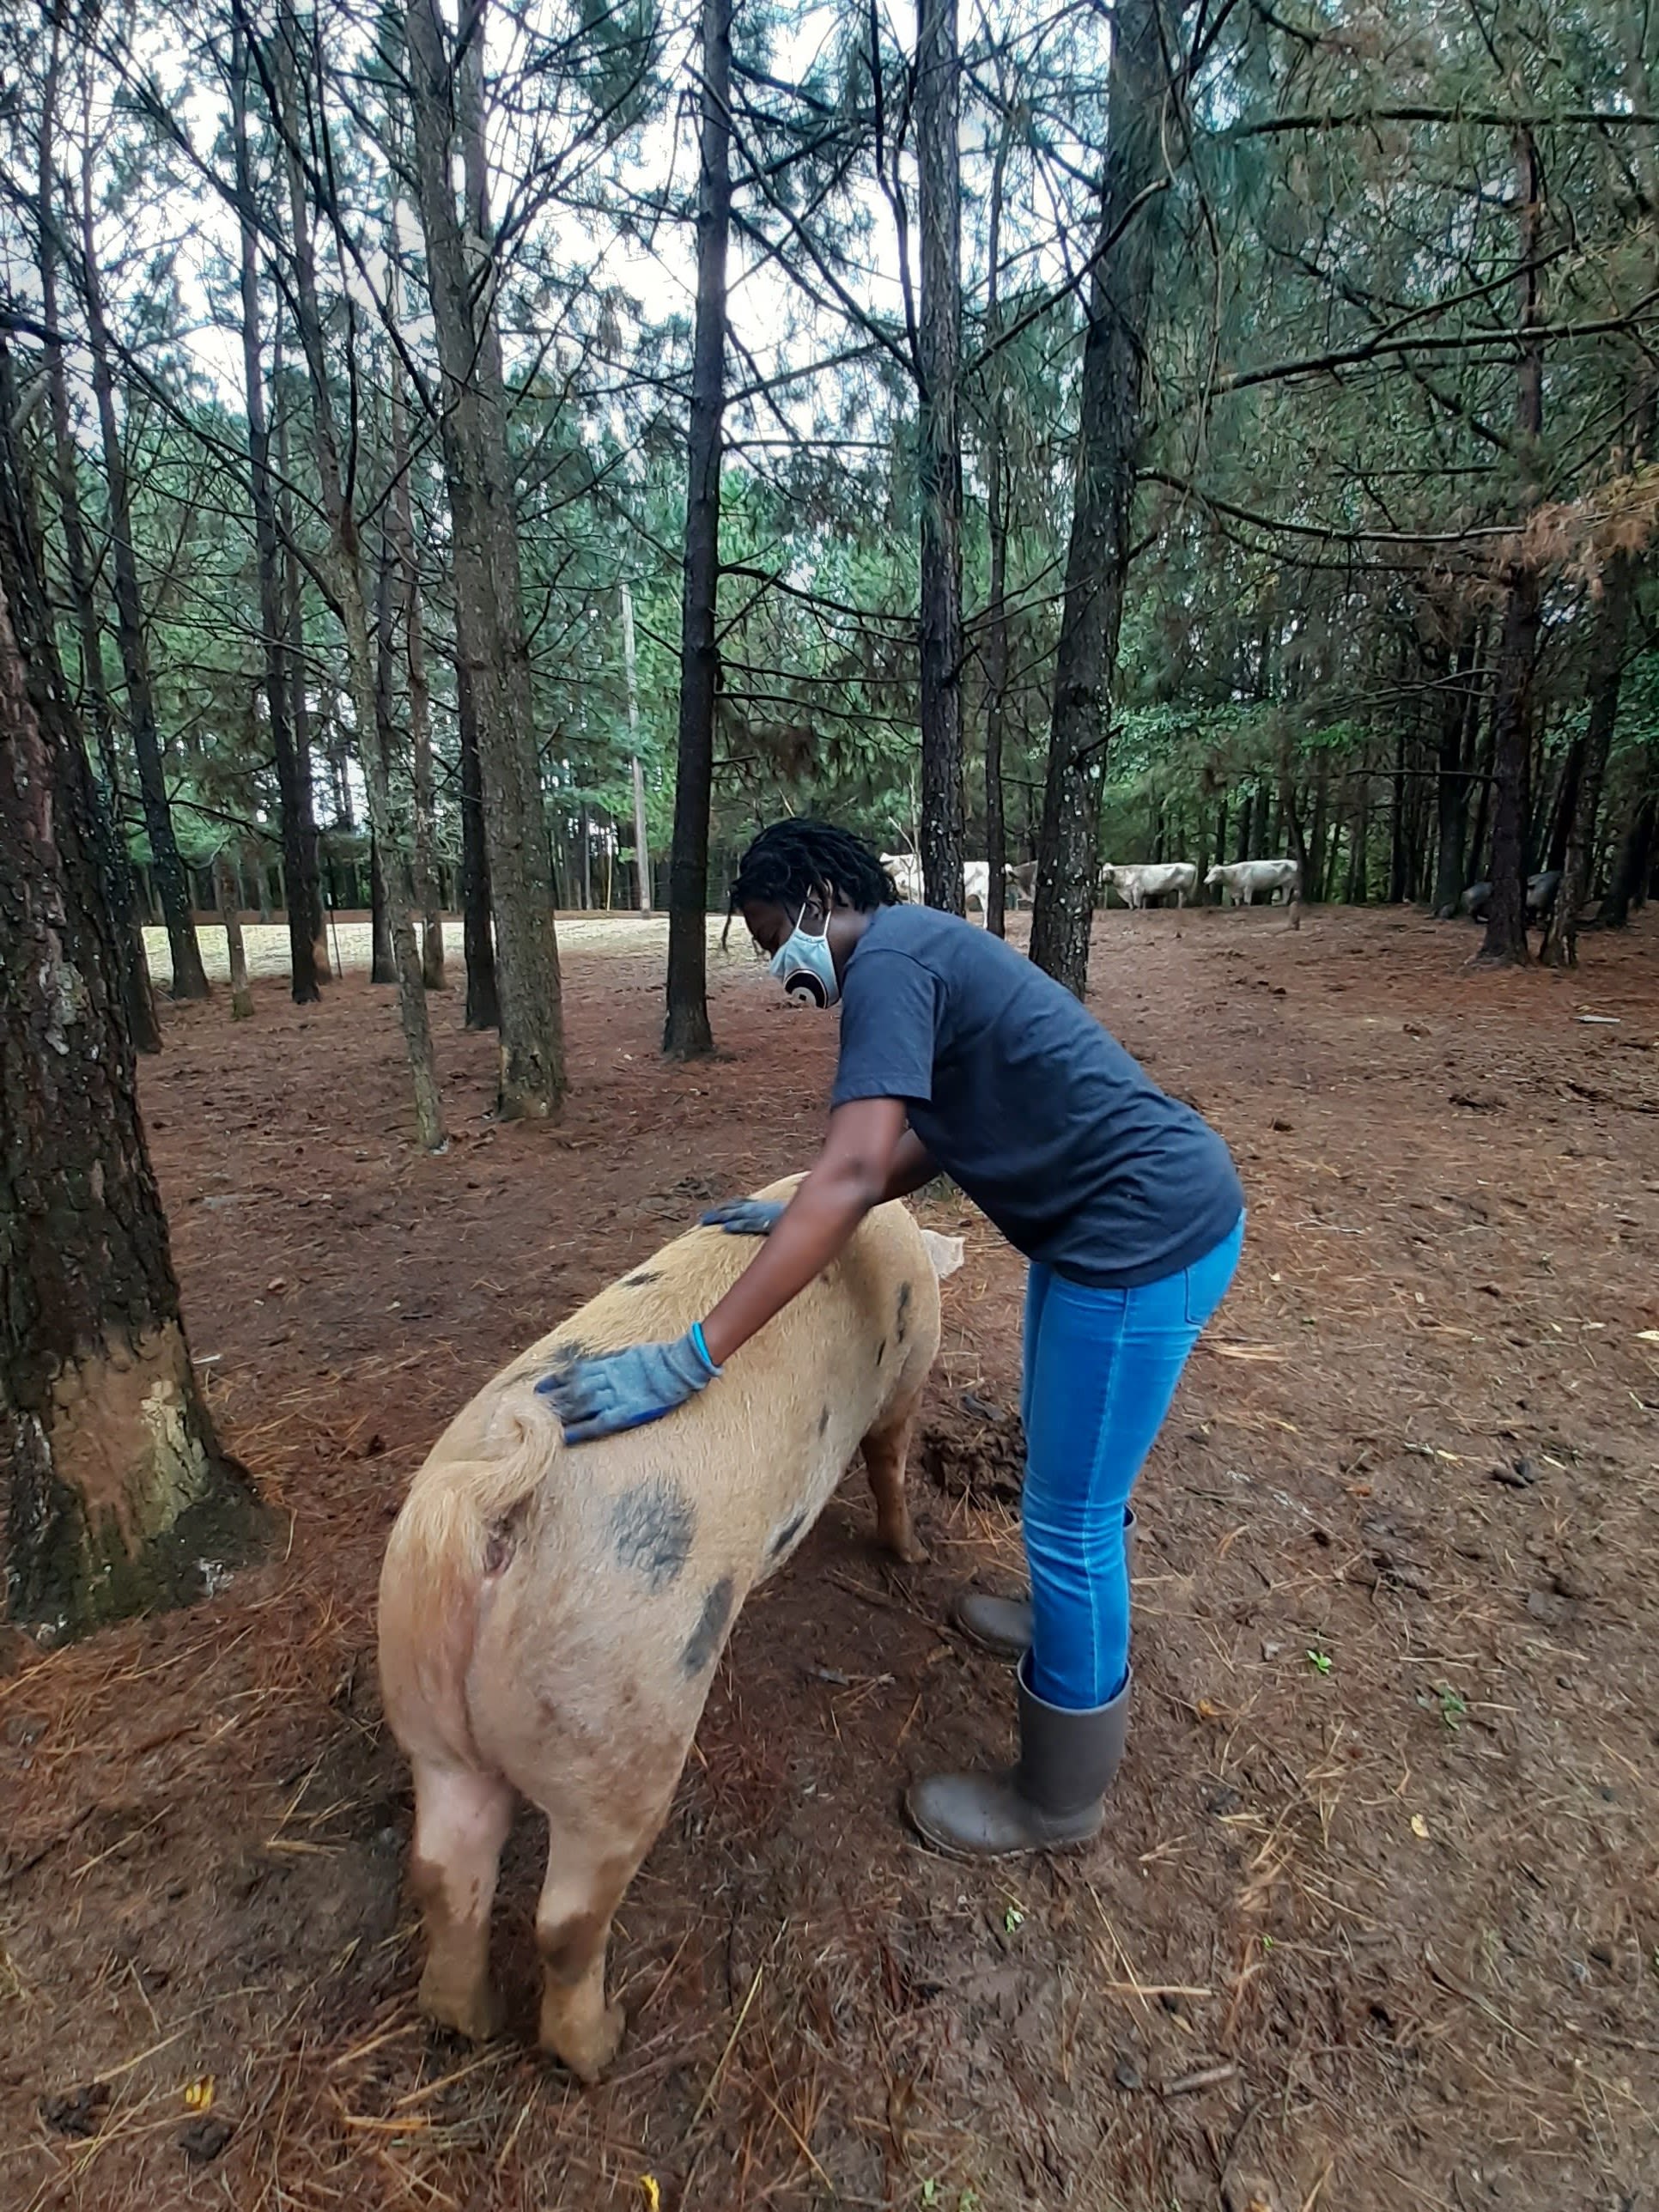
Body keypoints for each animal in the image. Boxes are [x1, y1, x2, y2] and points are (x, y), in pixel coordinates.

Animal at [377, 1180, 962, 2083]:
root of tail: (491, 1501)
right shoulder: (906, 1374)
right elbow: (890, 1462)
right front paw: (911, 1553)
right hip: (623, 1720)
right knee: (566, 1921)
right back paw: (604, 2044)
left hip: (428, 1714)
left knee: (441, 1873)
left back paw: (465, 2022)